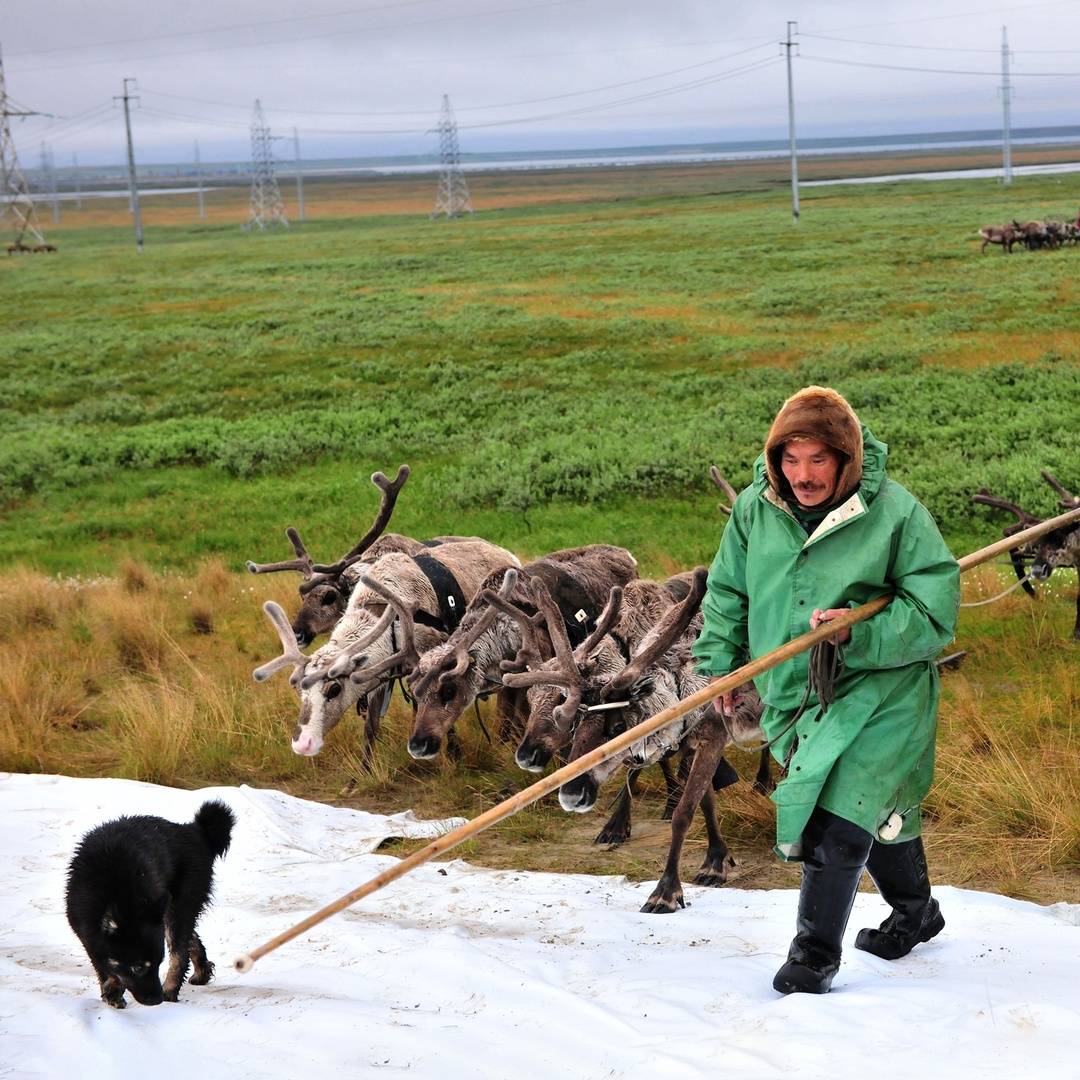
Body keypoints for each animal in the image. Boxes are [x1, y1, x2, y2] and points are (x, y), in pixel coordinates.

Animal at [68, 799, 238, 1006]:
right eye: (138, 967)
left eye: (158, 963)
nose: (156, 1000)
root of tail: (196, 830)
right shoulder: (85, 931)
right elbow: (103, 963)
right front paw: (112, 988)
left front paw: (114, 990)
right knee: (190, 938)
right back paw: (201, 971)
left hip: (179, 907)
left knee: (181, 953)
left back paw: (170, 989)